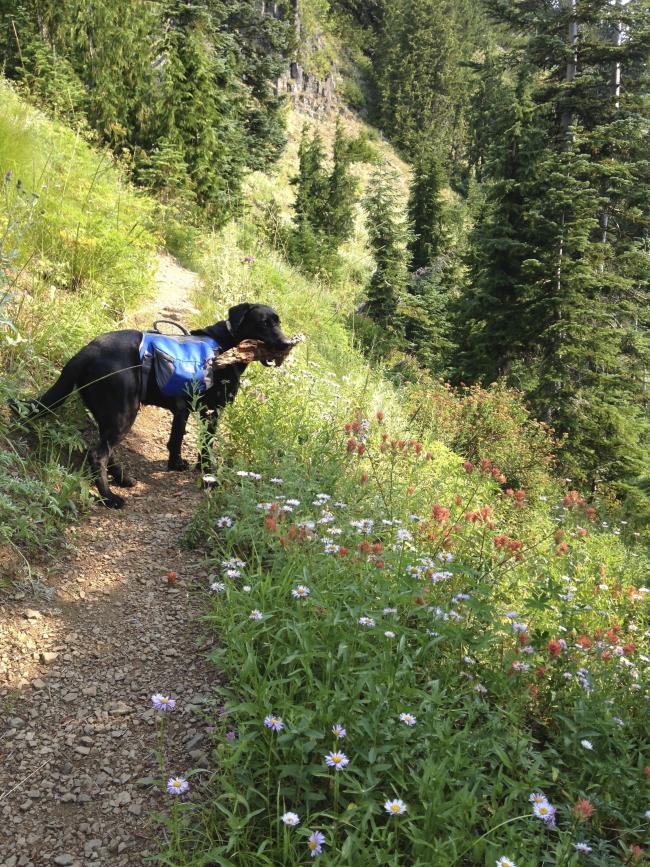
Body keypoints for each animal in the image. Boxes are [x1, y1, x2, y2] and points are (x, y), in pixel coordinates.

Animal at [15, 304, 288, 508]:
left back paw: (122, 478)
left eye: (279, 322)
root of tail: (85, 352)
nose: (286, 343)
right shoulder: (211, 413)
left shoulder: (184, 410)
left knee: (107, 450)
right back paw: (109, 497)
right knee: (98, 454)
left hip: (111, 414)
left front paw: (179, 464)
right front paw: (207, 475)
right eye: (264, 323)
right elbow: (204, 447)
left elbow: (177, 439)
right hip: (124, 411)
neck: (226, 344)